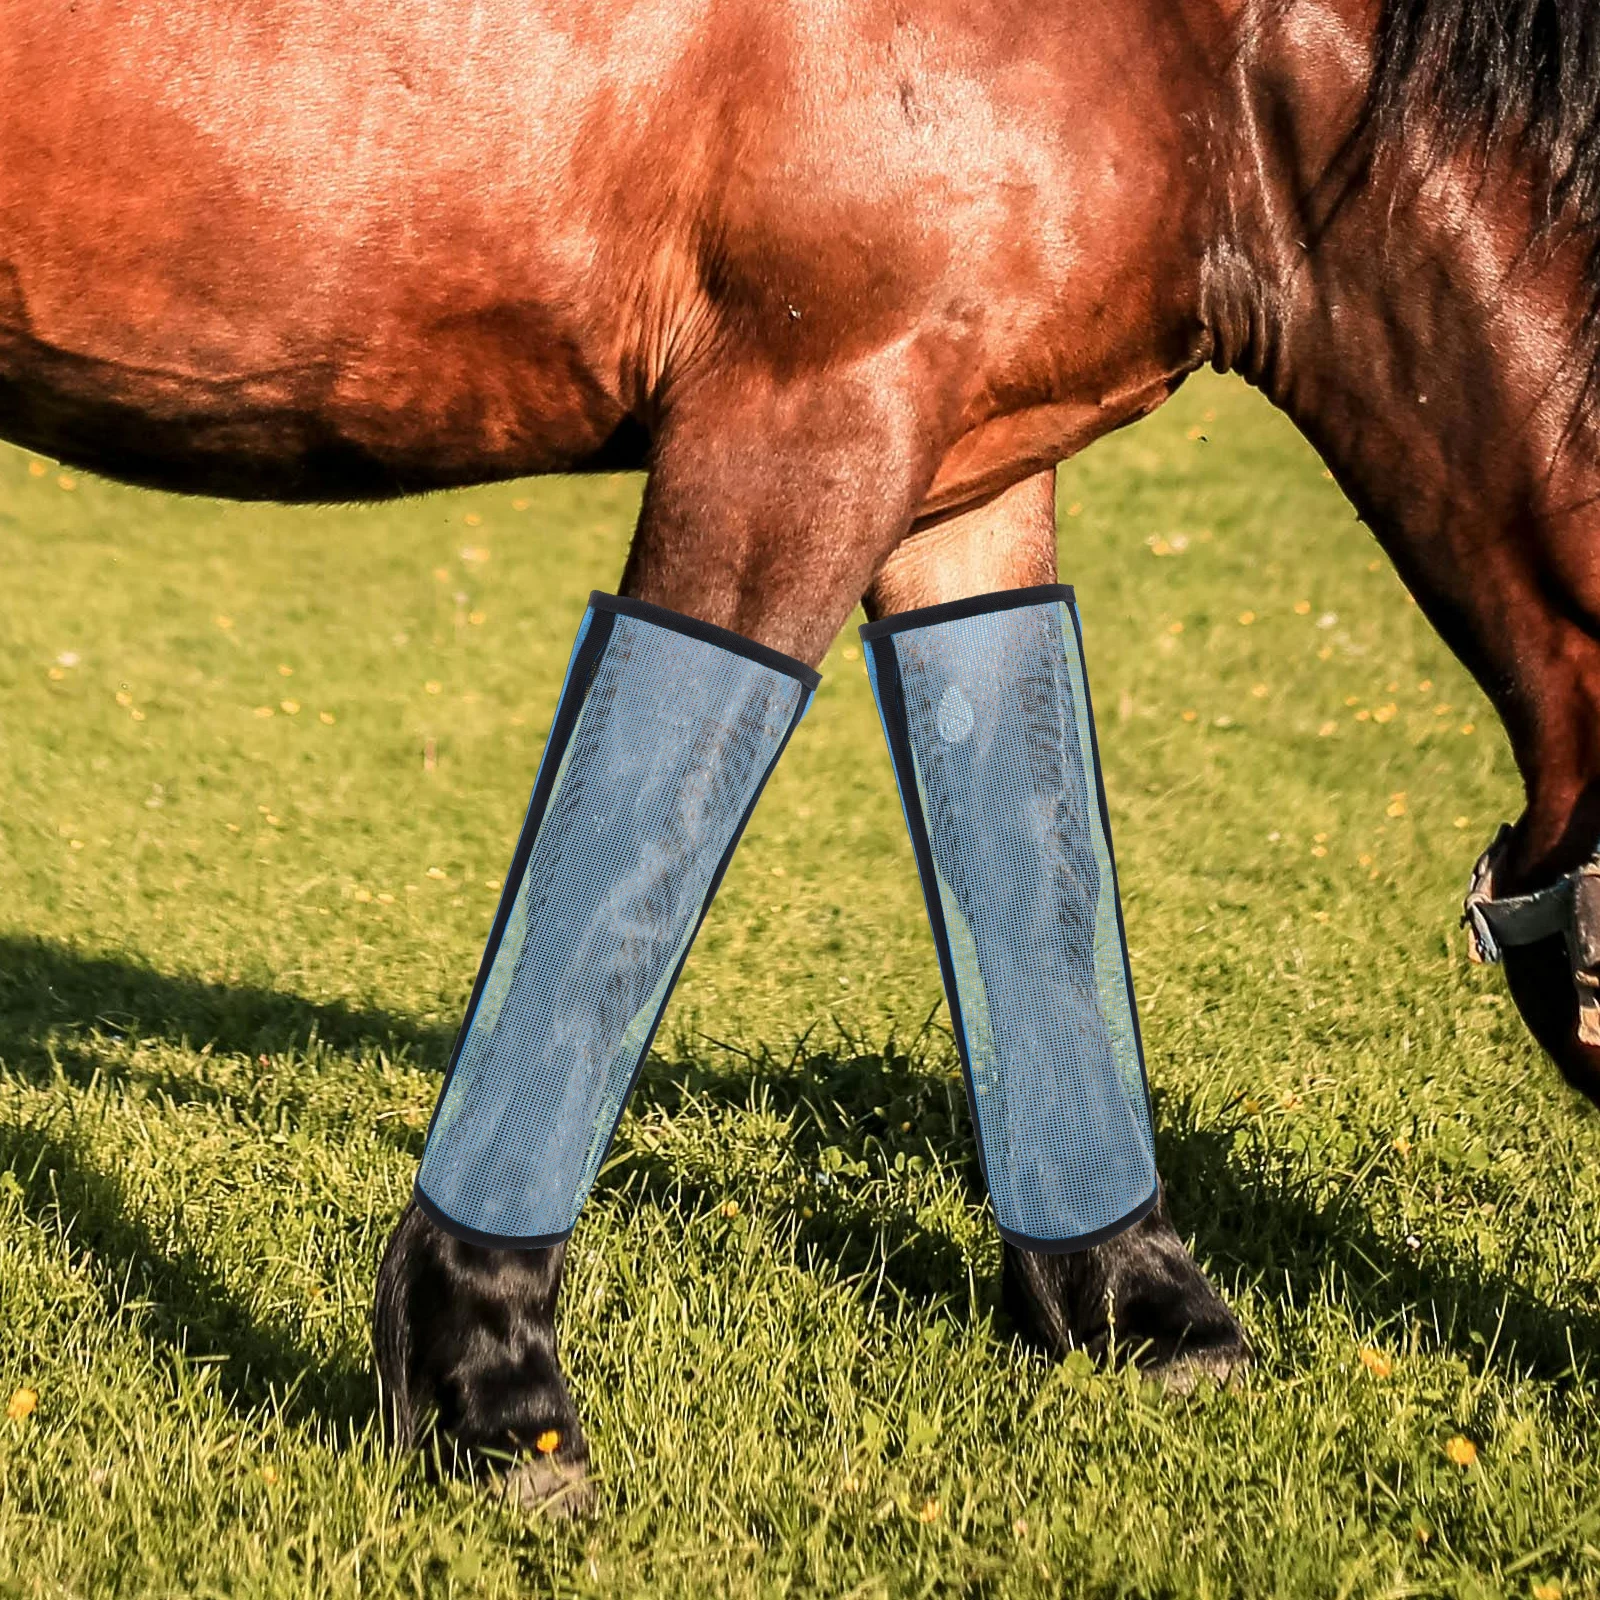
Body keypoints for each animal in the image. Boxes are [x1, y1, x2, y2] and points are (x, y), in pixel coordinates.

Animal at [4, 0, 1598, 1506]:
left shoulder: (975, 470)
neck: (1217, 62)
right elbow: (634, 865)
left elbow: (1030, 852)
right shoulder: (804, 415)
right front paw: (487, 1379)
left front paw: (1132, 1294)